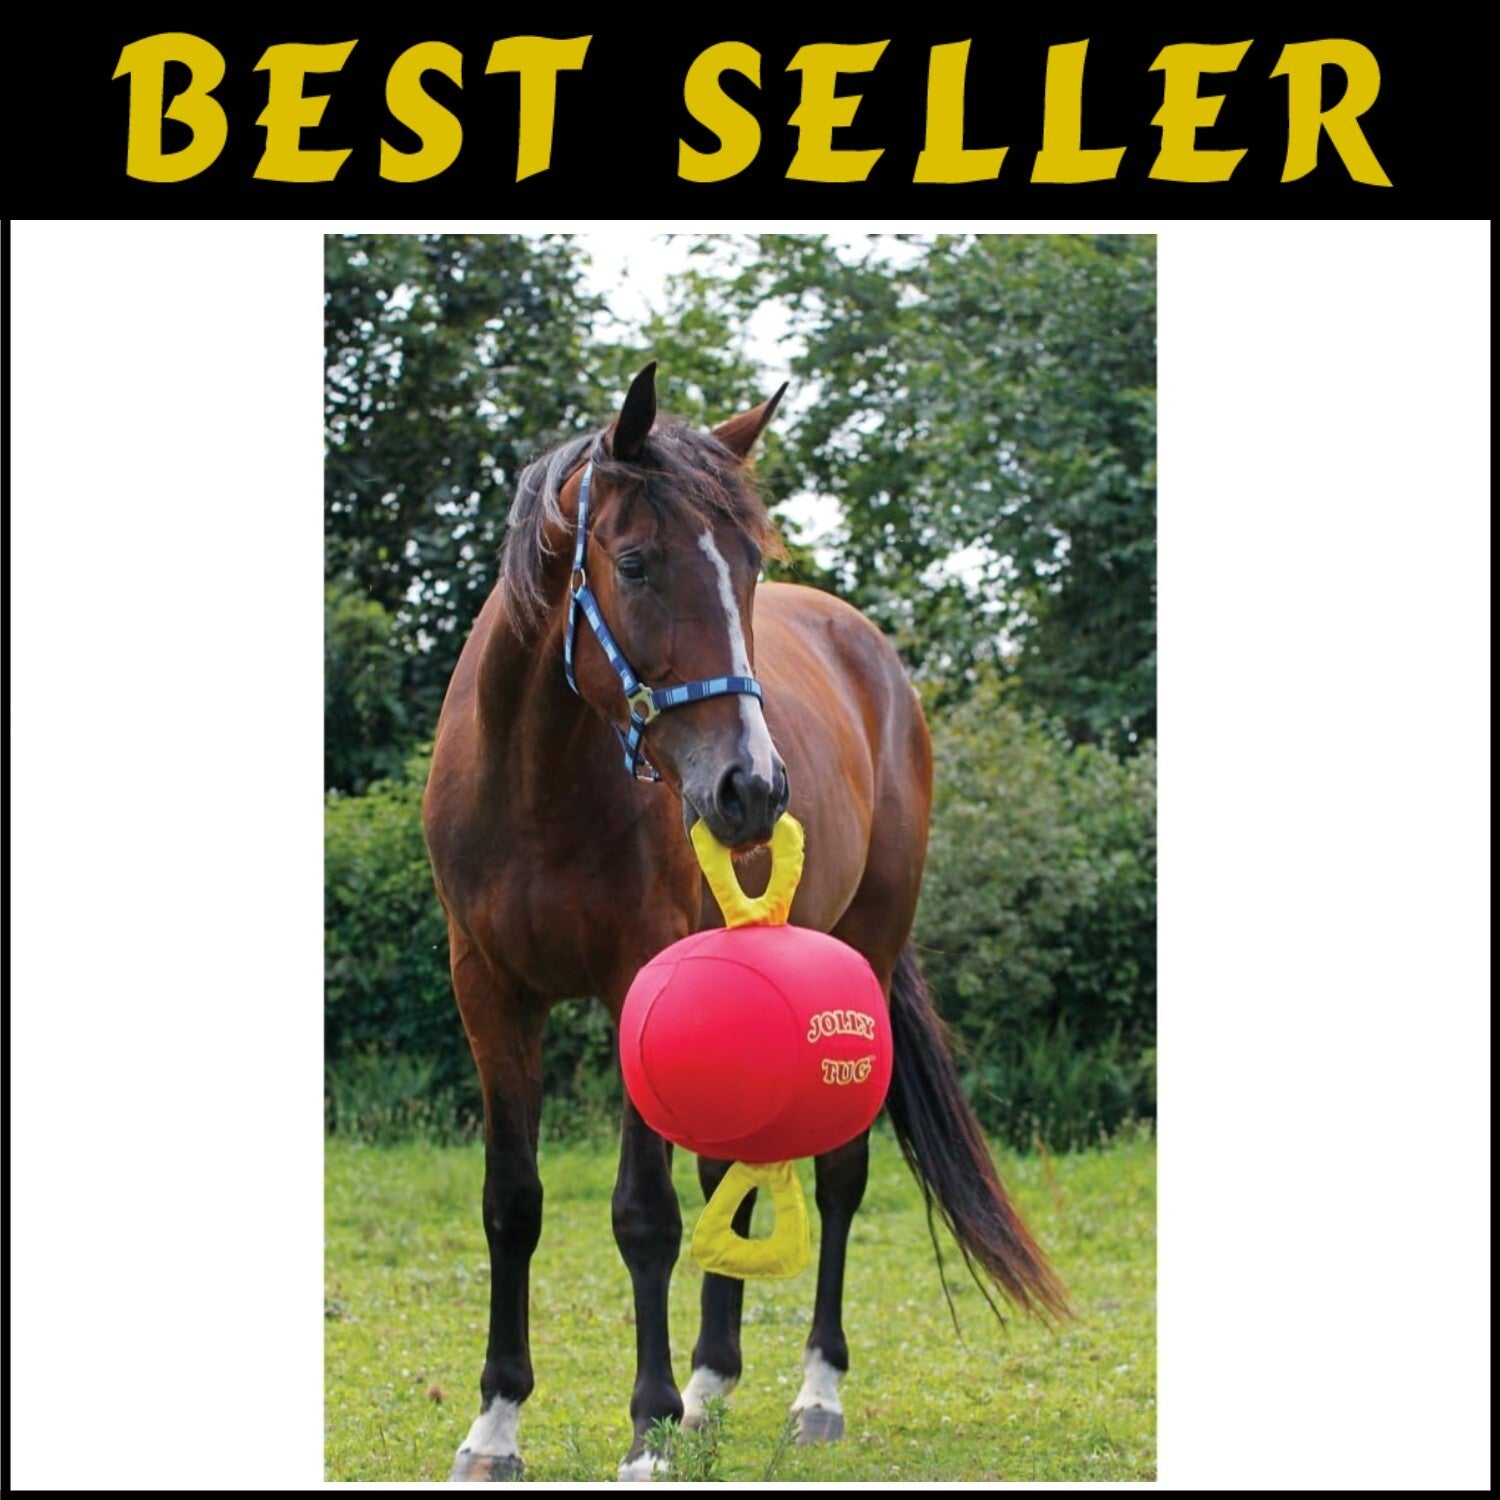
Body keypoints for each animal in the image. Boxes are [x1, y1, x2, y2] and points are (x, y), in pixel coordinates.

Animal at [422, 362, 1068, 1481]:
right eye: (636, 562)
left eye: (752, 568)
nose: (753, 790)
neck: (536, 781)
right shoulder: (489, 992)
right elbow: (513, 1203)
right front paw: (497, 1424)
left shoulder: (636, 981)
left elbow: (644, 1213)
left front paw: (645, 1430)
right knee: (737, 1165)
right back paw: (710, 1388)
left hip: (866, 953)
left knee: (840, 1175)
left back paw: (813, 1394)